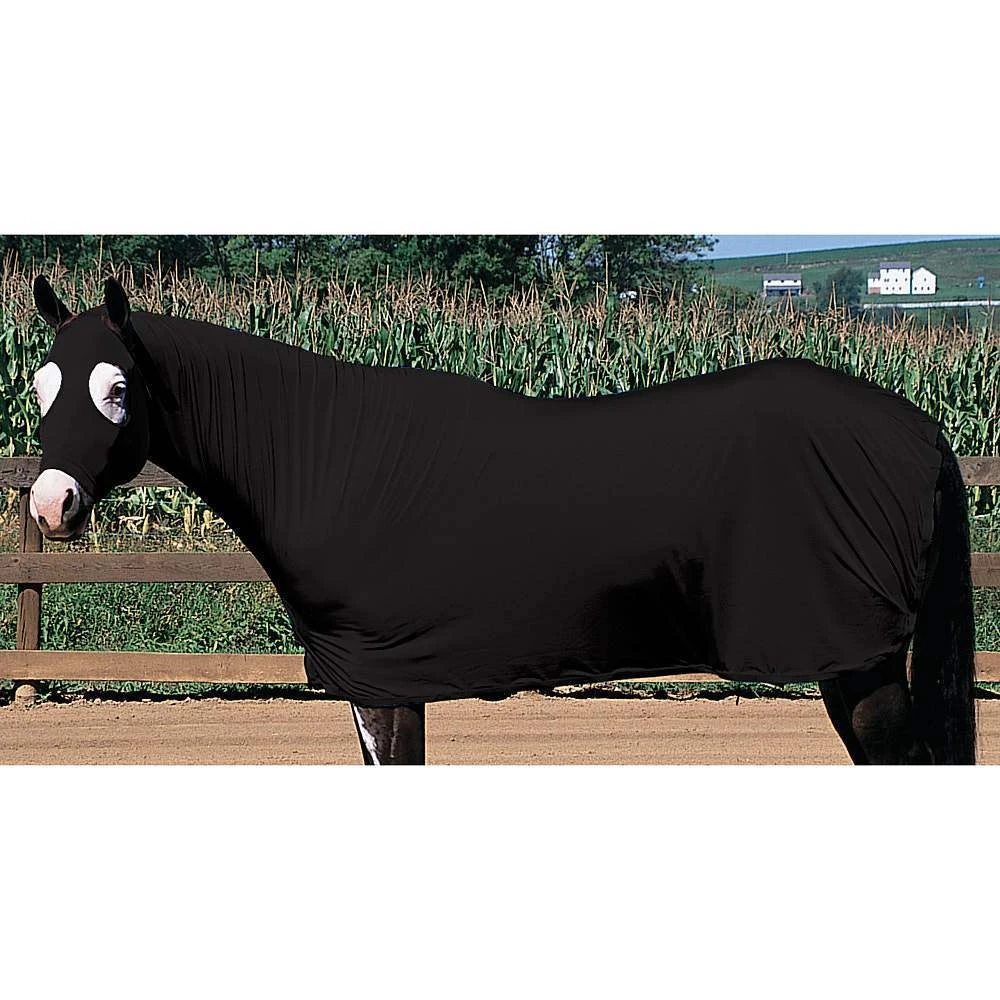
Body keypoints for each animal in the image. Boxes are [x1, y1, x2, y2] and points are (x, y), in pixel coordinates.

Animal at [25, 275, 976, 764]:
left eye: (117, 388)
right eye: (37, 384)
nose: (49, 504)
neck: (329, 460)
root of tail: (921, 427)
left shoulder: (389, 683)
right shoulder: (372, 688)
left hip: (861, 667)